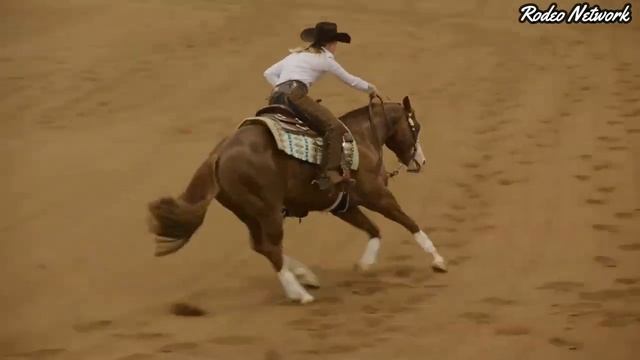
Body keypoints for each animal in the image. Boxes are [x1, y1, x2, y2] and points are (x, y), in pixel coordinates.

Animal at [146, 95, 448, 304]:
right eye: (416, 127)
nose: (421, 161)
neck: (362, 139)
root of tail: (218, 154)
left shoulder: (344, 206)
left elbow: (373, 230)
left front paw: (365, 264)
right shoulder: (378, 196)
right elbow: (408, 222)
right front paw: (438, 259)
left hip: (248, 212)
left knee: (261, 246)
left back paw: (305, 278)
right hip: (267, 209)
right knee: (270, 247)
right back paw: (299, 292)